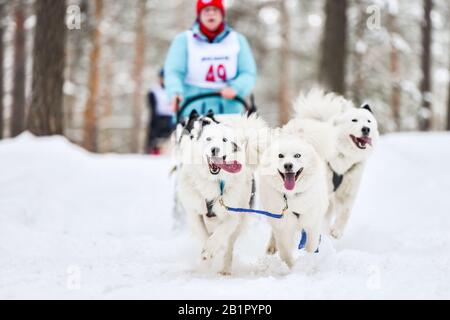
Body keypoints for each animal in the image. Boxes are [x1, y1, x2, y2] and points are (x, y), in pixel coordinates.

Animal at [177, 110, 268, 276]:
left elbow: (219, 235)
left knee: (229, 246)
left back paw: (225, 269)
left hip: (240, 220)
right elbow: (203, 235)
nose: (215, 149)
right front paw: (205, 261)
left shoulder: (232, 215)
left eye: (224, 140)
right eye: (208, 139)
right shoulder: (194, 212)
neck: (213, 180)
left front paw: (209, 251)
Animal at [258, 132, 328, 268]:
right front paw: (292, 268)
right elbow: (285, 253)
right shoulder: (283, 226)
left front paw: (308, 262)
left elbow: (311, 246)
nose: (288, 165)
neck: (292, 197)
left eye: (297, 155)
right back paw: (272, 247)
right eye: (280, 155)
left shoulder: (312, 224)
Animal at [284, 89, 380, 239]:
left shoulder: (348, 192)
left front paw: (336, 231)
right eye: (354, 120)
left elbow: (345, 213)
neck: (343, 157)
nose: (366, 129)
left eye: (369, 121)